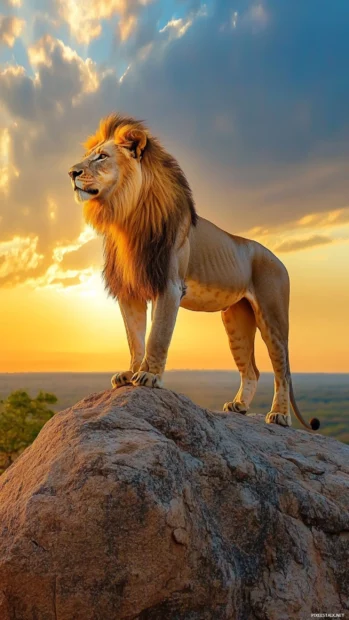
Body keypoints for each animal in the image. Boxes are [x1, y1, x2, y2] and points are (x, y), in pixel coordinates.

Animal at [67, 112, 318, 432]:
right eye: (89, 155)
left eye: (102, 156)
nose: (71, 172)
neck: (126, 217)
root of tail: (280, 260)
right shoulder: (130, 291)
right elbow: (134, 338)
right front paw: (129, 373)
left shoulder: (169, 286)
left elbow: (157, 335)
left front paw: (149, 377)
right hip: (236, 320)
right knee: (252, 369)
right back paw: (239, 406)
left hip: (272, 316)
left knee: (281, 371)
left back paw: (279, 416)